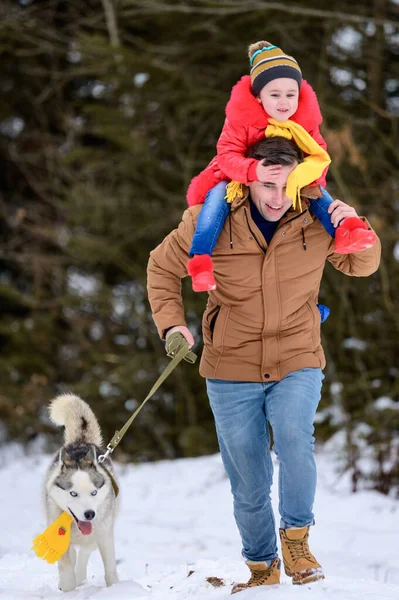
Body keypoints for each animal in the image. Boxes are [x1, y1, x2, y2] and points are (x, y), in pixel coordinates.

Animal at [44, 394, 119, 592]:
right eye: (73, 494)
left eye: (94, 492)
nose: (89, 514)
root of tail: (81, 442)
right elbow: (65, 564)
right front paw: (68, 586)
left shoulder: (104, 534)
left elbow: (110, 567)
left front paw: (117, 588)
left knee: (85, 551)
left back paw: (80, 574)